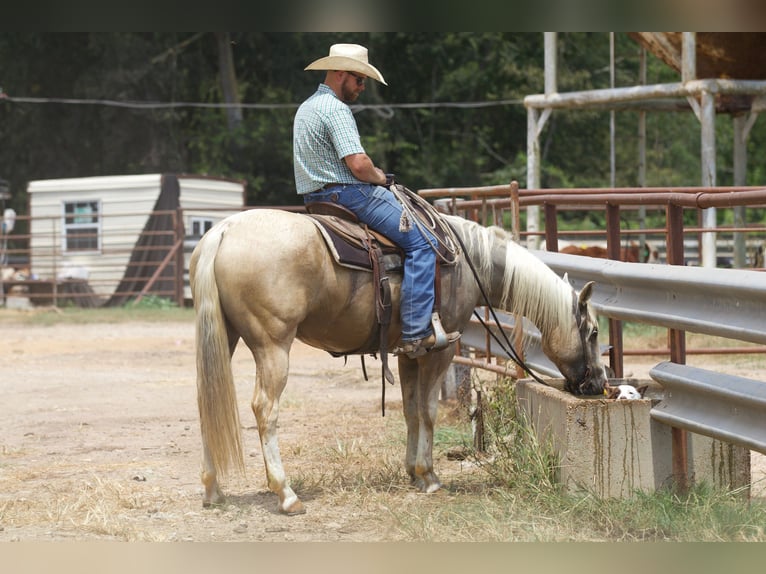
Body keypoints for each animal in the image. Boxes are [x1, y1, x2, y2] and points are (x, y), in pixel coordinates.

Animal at [192, 209, 612, 516]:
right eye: (593, 332)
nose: (598, 385)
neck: (467, 263)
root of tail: (223, 232)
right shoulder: (440, 350)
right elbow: (428, 411)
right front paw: (429, 476)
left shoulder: (410, 352)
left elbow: (411, 410)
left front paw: (413, 471)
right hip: (273, 345)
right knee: (265, 409)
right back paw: (286, 494)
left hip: (225, 337)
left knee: (207, 403)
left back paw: (213, 489)